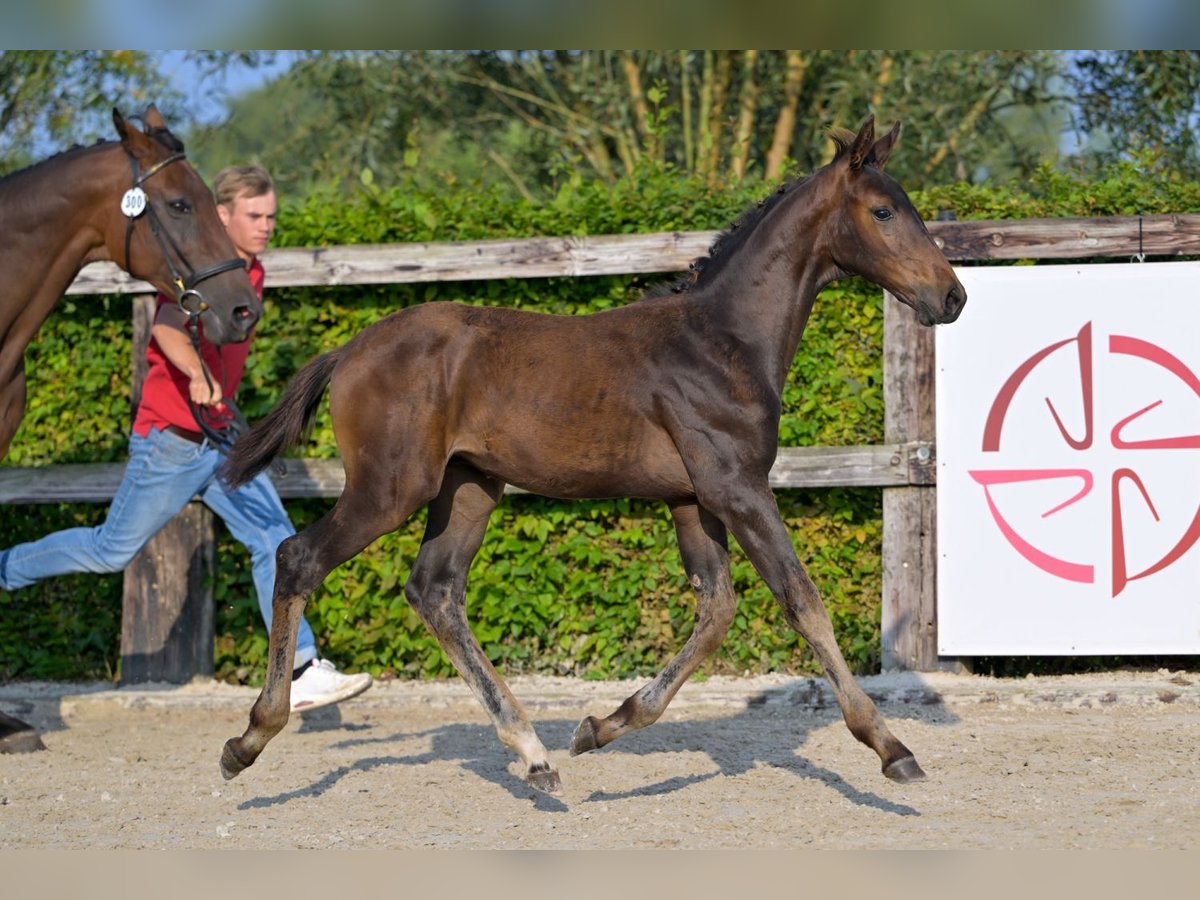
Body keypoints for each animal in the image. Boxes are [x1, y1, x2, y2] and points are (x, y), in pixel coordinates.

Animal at [216, 118, 964, 796]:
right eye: (883, 211)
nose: (952, 295)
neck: (721, 340)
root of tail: (348, 350)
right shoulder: (738, 488)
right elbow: (802, 600)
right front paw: (892, 748)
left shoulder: (693, 498)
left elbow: (717, 609)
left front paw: (599, 727)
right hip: (390, 488)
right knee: (299, 558)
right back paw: (248, 739)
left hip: (469, 488)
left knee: (434, 590)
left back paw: (534, 754)